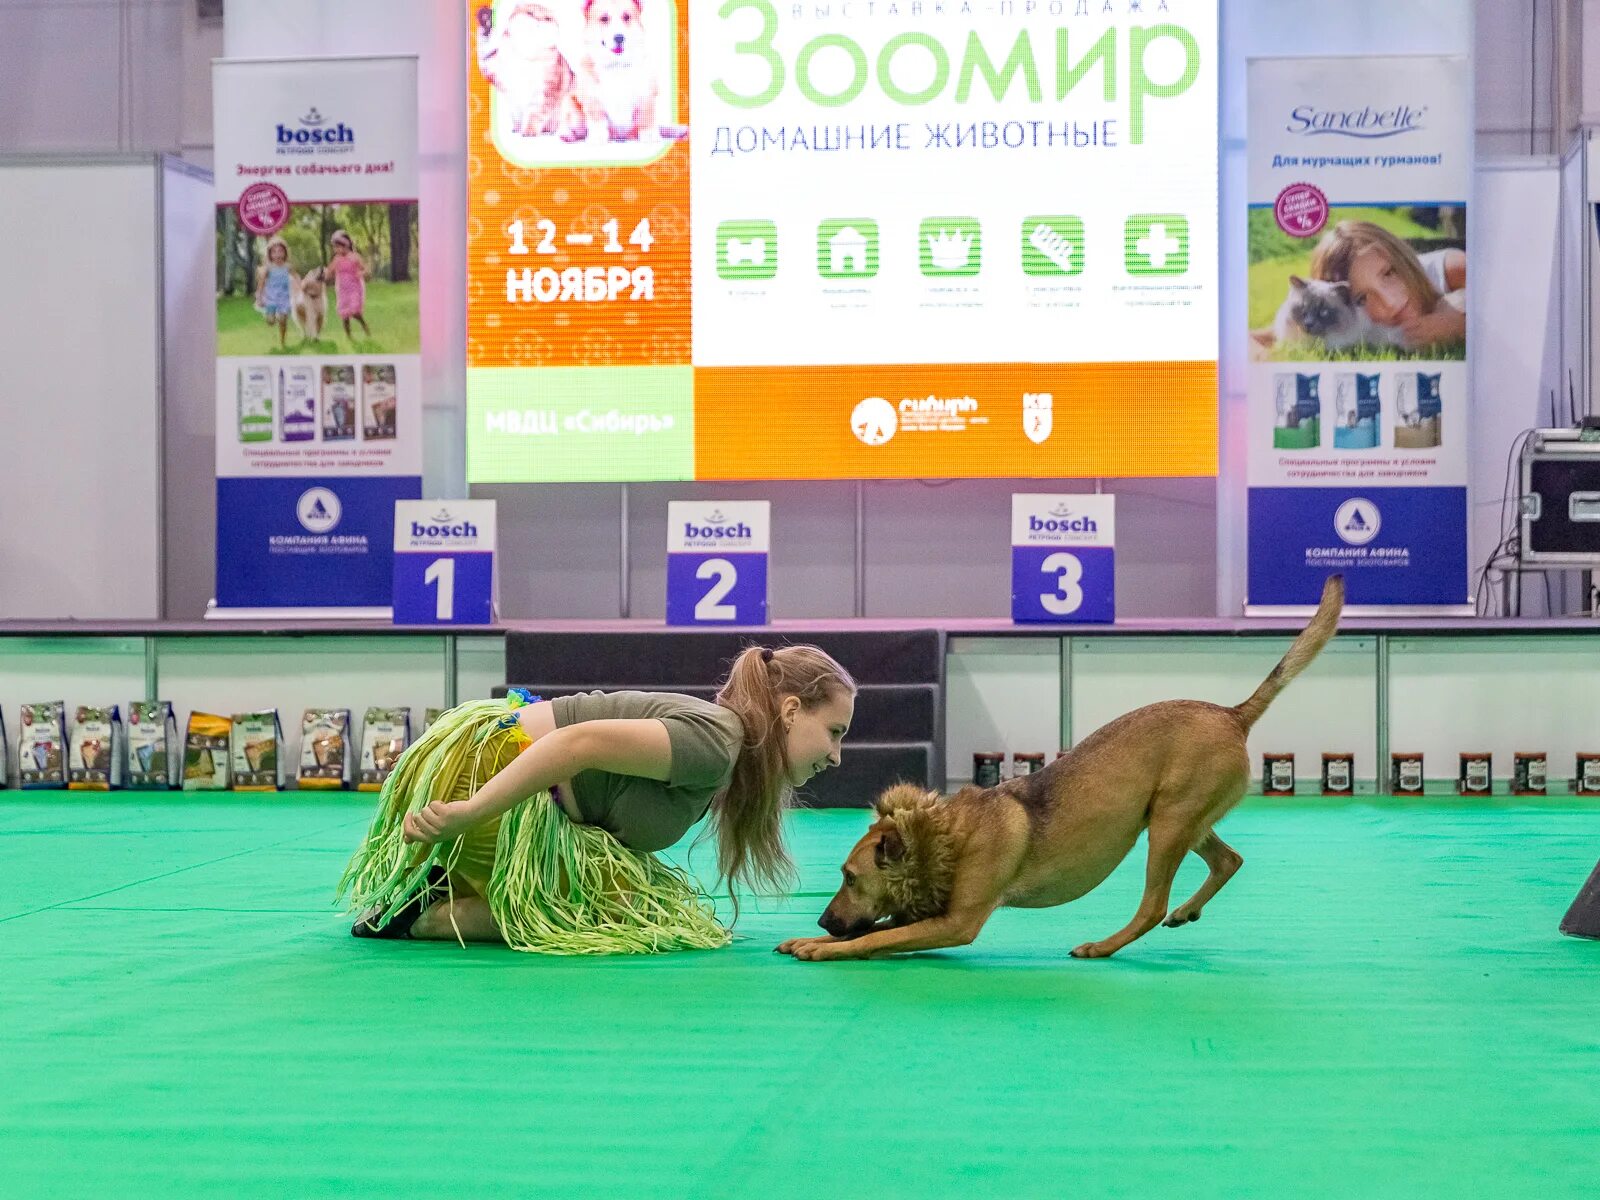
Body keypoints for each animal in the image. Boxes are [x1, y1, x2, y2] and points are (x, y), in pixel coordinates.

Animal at [780, 579, 1344, 966]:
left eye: (850, 877)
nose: (822, 918)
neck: (948, 834)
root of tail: (1232, 714)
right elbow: (876, 929)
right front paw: (811, 937)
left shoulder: (957, 921)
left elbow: (878, 937)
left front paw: (825, 947)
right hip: (1183, 817)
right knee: (1228, 860)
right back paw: (1187, 911)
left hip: (1169, 825)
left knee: (1152, 905)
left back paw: (1105, 945)